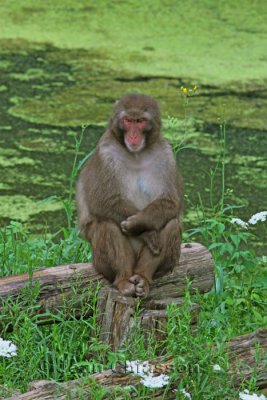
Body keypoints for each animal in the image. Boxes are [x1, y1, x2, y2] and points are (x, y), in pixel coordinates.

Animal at [76, 92, 183, 296]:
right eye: (128, 120)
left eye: (140, 121)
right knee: (108, 225)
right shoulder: (106, 152)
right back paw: (124, 280)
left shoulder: (166, 154)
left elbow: (170, 202)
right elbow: (103, 201)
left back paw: (142, 278)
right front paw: (145, 232)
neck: (136, 155)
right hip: (100, 264)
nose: (133, 135)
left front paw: (138, 223)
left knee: (171, 224)